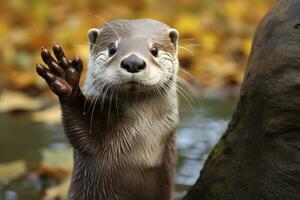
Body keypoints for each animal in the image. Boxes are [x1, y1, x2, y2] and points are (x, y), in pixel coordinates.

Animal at [36, 19, 179, 200]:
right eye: (112, 48)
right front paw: (66, 78)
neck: (142, 135)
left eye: (154, 50)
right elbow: (78, 130)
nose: (133, 62)